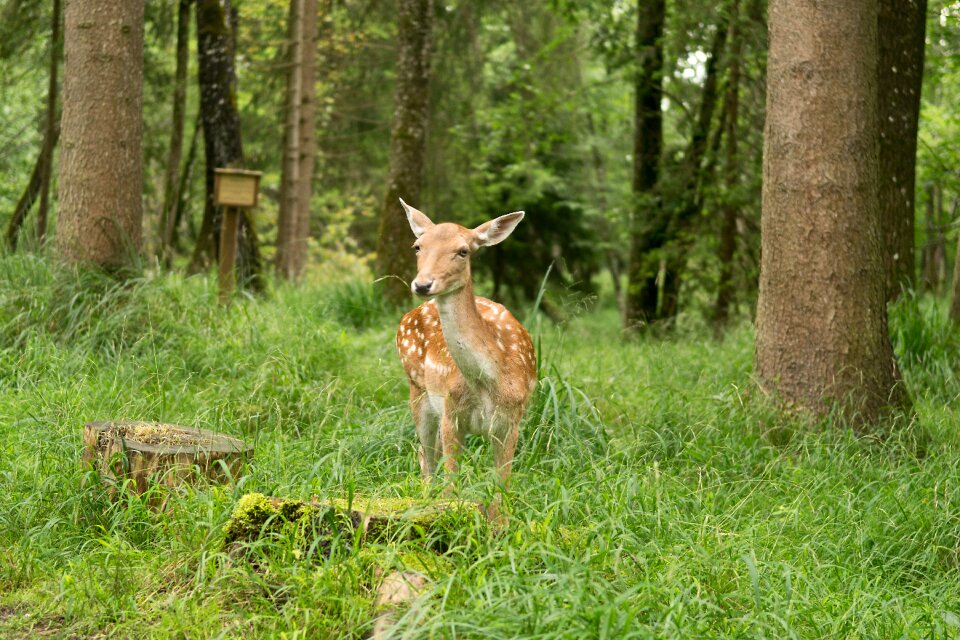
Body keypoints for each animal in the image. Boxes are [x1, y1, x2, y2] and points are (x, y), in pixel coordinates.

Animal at [394, 199, 536, 520]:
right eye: (417, 246)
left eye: (463, 251)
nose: (423, 285)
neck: (488, 383)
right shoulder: (451, 413)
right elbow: (451, 484)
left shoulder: (511, 422)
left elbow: (502, 489)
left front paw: (499, 526)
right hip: (417, 388)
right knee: (425, 456)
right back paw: (424, 502)